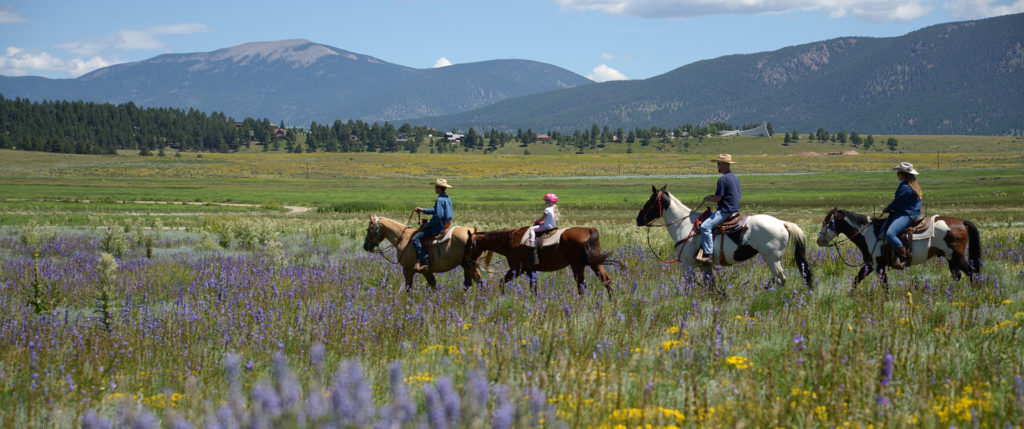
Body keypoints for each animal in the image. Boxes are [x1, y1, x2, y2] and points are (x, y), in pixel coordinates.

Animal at [464, 225, 614, 298]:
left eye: (468, 244)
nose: (466, 260)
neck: (510, 241)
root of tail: (588, 230)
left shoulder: (517, 269)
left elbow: (501, 282)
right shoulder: (530, 271)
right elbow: (534, 288)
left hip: (577, 266)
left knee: (581, 285)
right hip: (594, 264)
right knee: (605, 280)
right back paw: (611, 300)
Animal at [634, 186, 811, 294]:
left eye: (649, 201)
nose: (638, 219)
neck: (683, 225)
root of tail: (782, 223)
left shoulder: (687, 264)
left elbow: (690, 284)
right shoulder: (704, 265)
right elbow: (709, 285)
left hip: (772, 259)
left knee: (781, 278)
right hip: (770, 258)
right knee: (777, 278)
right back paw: (765, 289)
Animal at [811, 207, 978, 288]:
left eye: (828, 222)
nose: (819, 241)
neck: (869, 233)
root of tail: (962, 222)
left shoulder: (879, 265)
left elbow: (884, 285)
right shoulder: (870, 265)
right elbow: (856, 280)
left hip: (956, 256)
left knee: (973, 273)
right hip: (950, 258)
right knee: (957, 276)